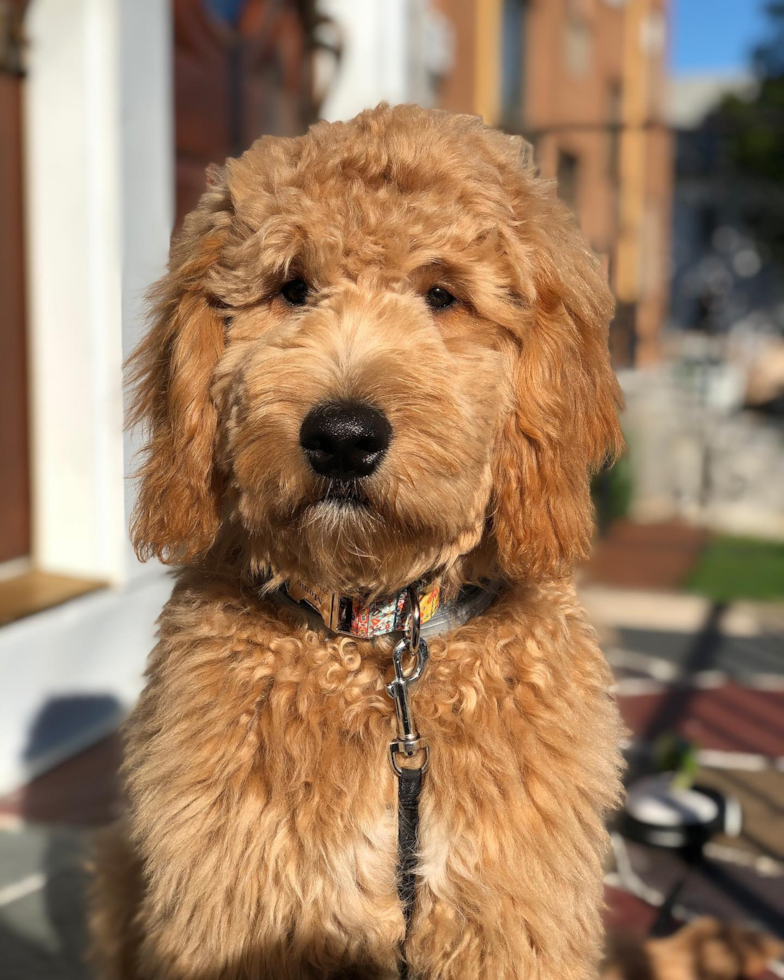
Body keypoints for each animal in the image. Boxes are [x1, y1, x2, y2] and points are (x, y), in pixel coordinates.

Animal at [87, 103, 624, 976]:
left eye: (442, 293)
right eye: (292, 288)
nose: (342, 437)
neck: (379, 635)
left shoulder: (507, 911)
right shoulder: (247, 904)